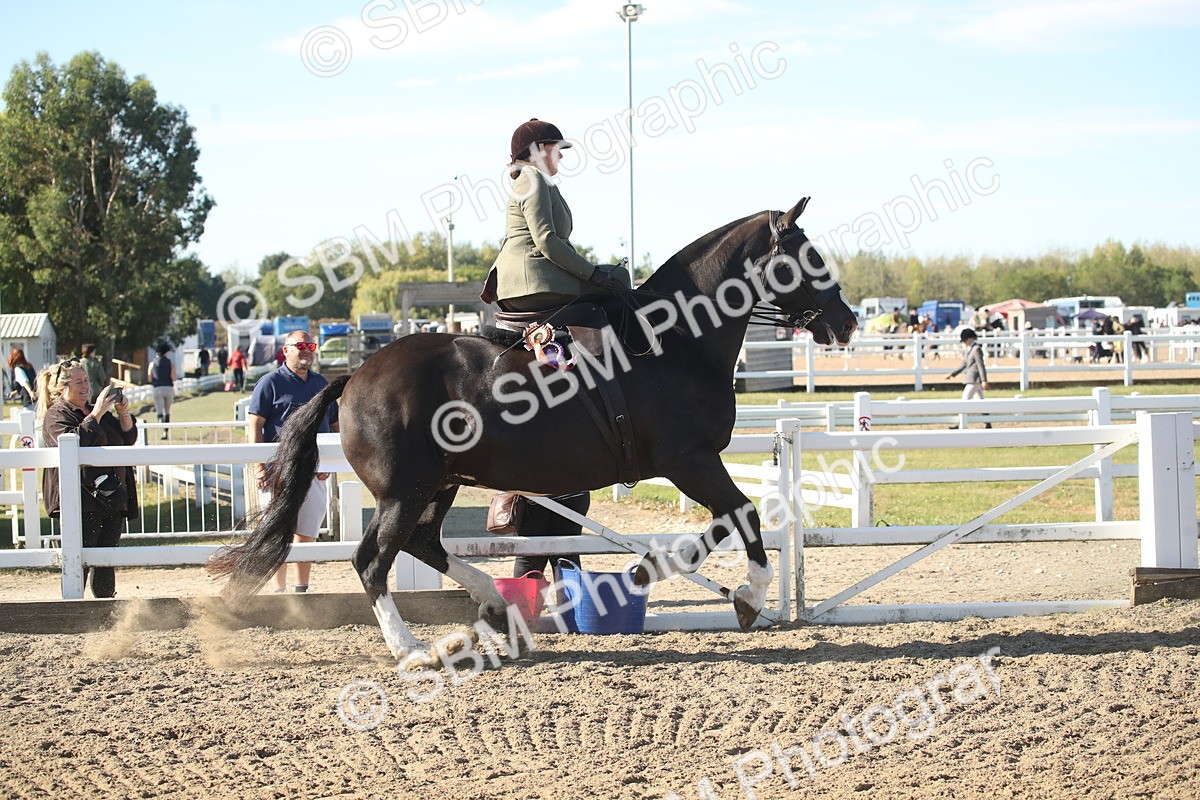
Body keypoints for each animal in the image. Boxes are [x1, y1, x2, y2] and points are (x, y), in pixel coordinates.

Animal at [209, 198, 857, 659]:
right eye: (808, 257)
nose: (848, 322)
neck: (674, 339)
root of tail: (354, 375)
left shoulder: (688, 464)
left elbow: (728, 520)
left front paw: (652, 573)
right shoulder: (689, 460)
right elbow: (741, 515)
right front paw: (745, 595)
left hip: (439, 485)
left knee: (423, 543)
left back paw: (493, 607)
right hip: (404, 490)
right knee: (373, 559)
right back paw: (410, 647)